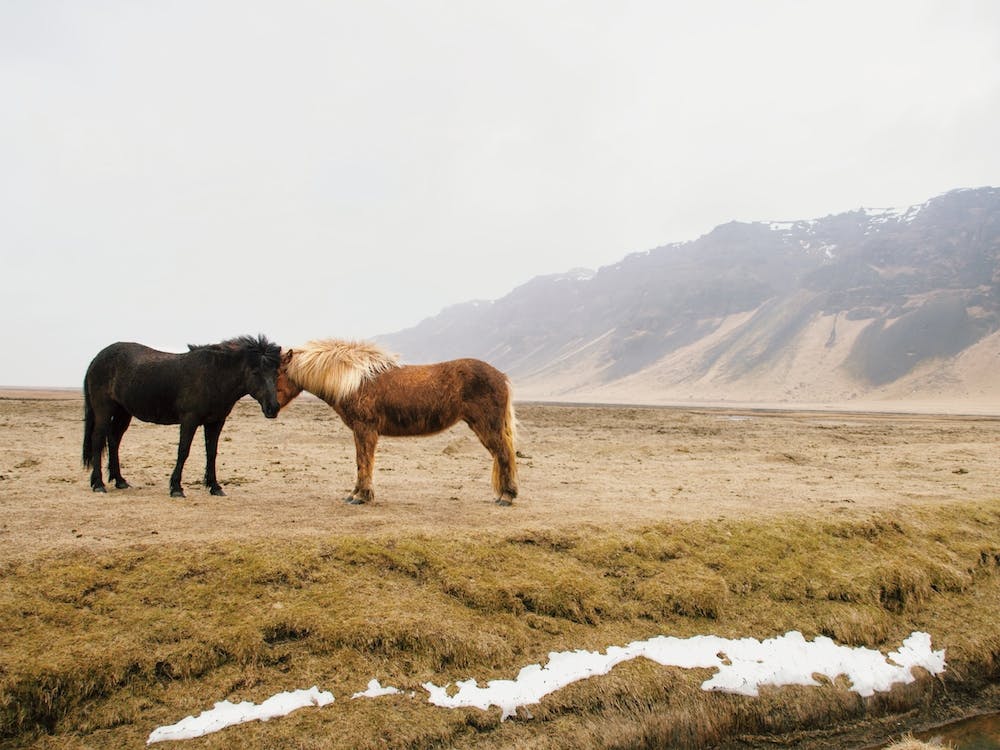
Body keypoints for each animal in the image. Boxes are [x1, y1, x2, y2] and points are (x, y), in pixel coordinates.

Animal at [83, 334, 288, 498]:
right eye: (255, 372)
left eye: (276, 372)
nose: (273, 408)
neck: (214, 377)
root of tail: (96, 359)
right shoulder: (189, 420)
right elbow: (183, 451)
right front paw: (176, 488)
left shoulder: (215, 422)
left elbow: (212, 453)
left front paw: (215, 487)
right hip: (104, 410)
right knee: (98, 439)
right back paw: (98, 484)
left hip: (123, 412)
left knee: (114, 440)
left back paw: (119, 480)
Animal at [276, 339, 519, 505]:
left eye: (277, 374)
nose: (271, 409)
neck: (355, 381)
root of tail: (501, 376)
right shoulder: (361, 431)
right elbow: (360, 462)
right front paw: (355, 494)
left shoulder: (365, 430)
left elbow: (363, 461)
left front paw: (362, 496)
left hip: (487, 426)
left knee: (503, 454)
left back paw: (507, 496)